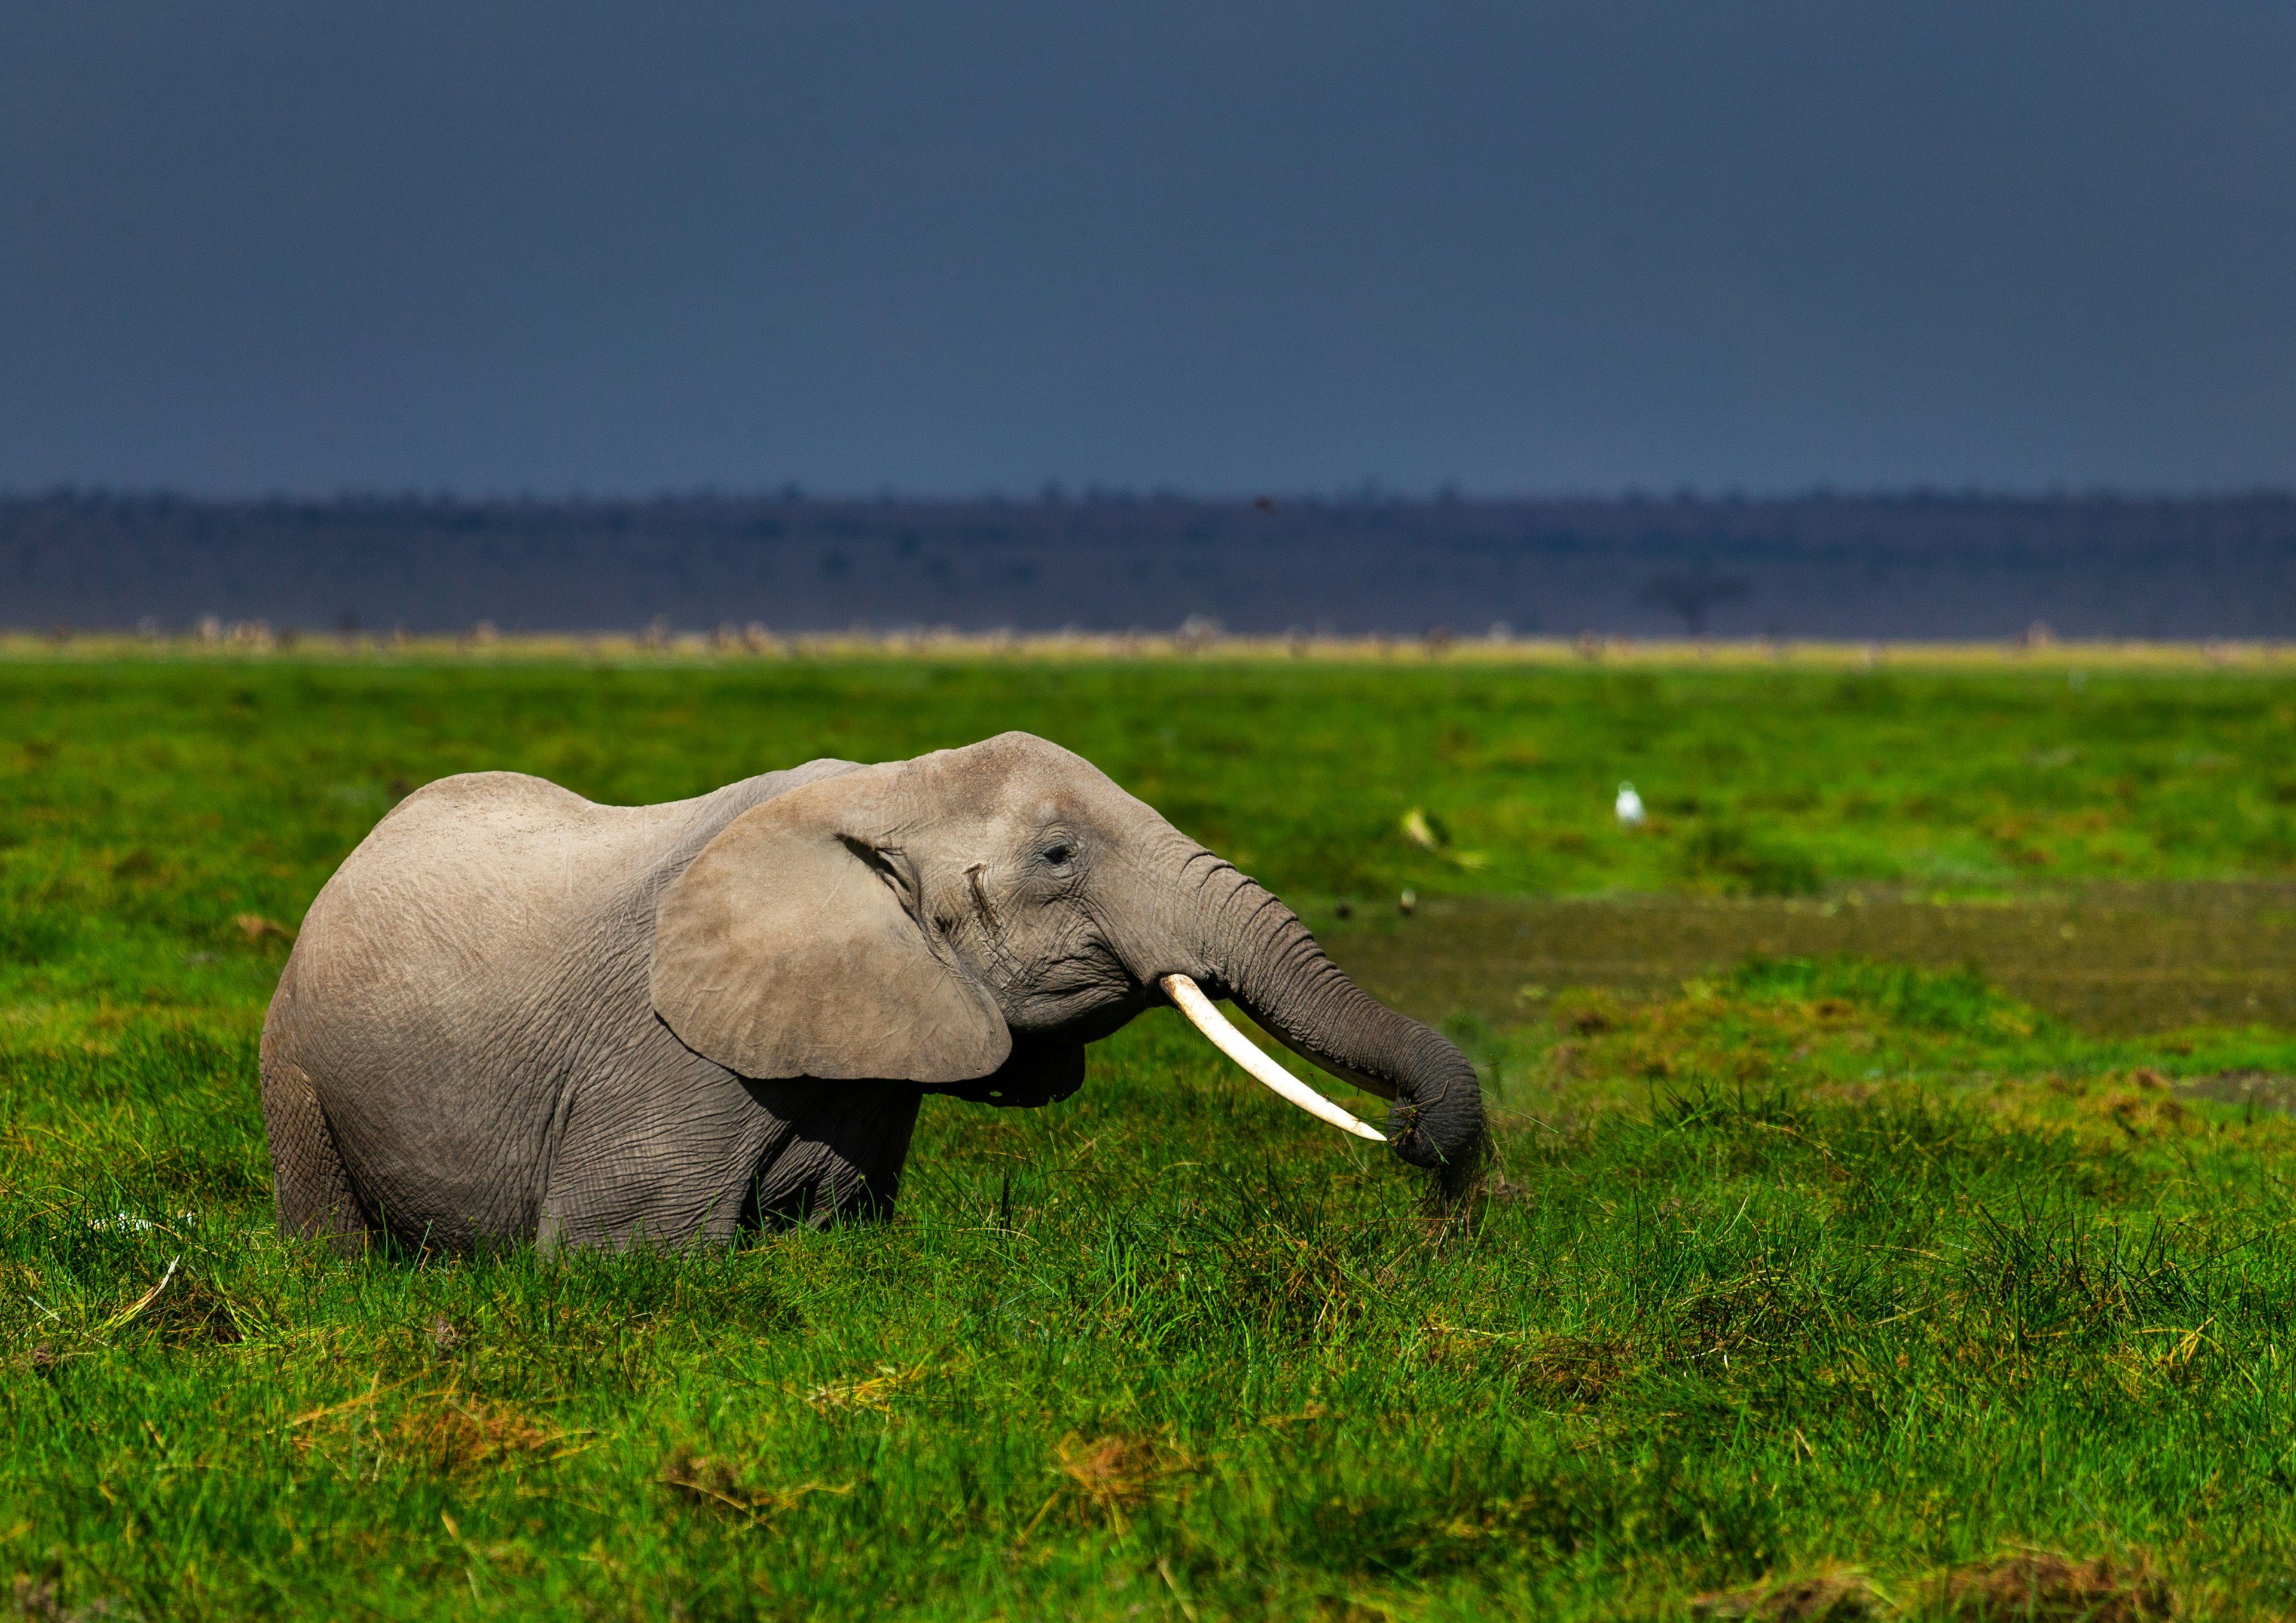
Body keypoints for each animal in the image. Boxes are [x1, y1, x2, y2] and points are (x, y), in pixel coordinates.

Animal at [264, 734, 1488, 1258]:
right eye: (1057, 856)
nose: (1410, 1133)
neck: (889, 783)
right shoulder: (665, 1057)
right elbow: (627, 1253)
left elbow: (837, 1226)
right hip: (294, 1057)